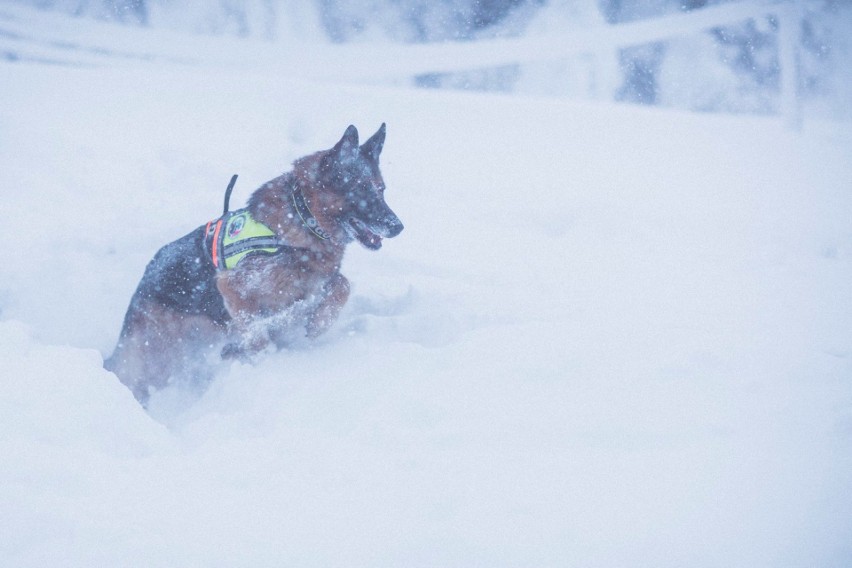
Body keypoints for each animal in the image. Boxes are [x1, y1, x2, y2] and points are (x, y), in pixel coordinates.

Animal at [105, 124, 404, 404]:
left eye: (381, 190)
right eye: (361, 189)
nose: (398, 226)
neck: (303, 214)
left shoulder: (317, 280)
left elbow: (341, 284)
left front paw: (318, 323)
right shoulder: (231, 286)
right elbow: (257, 330)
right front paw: (265, 356)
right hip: (166, 351)